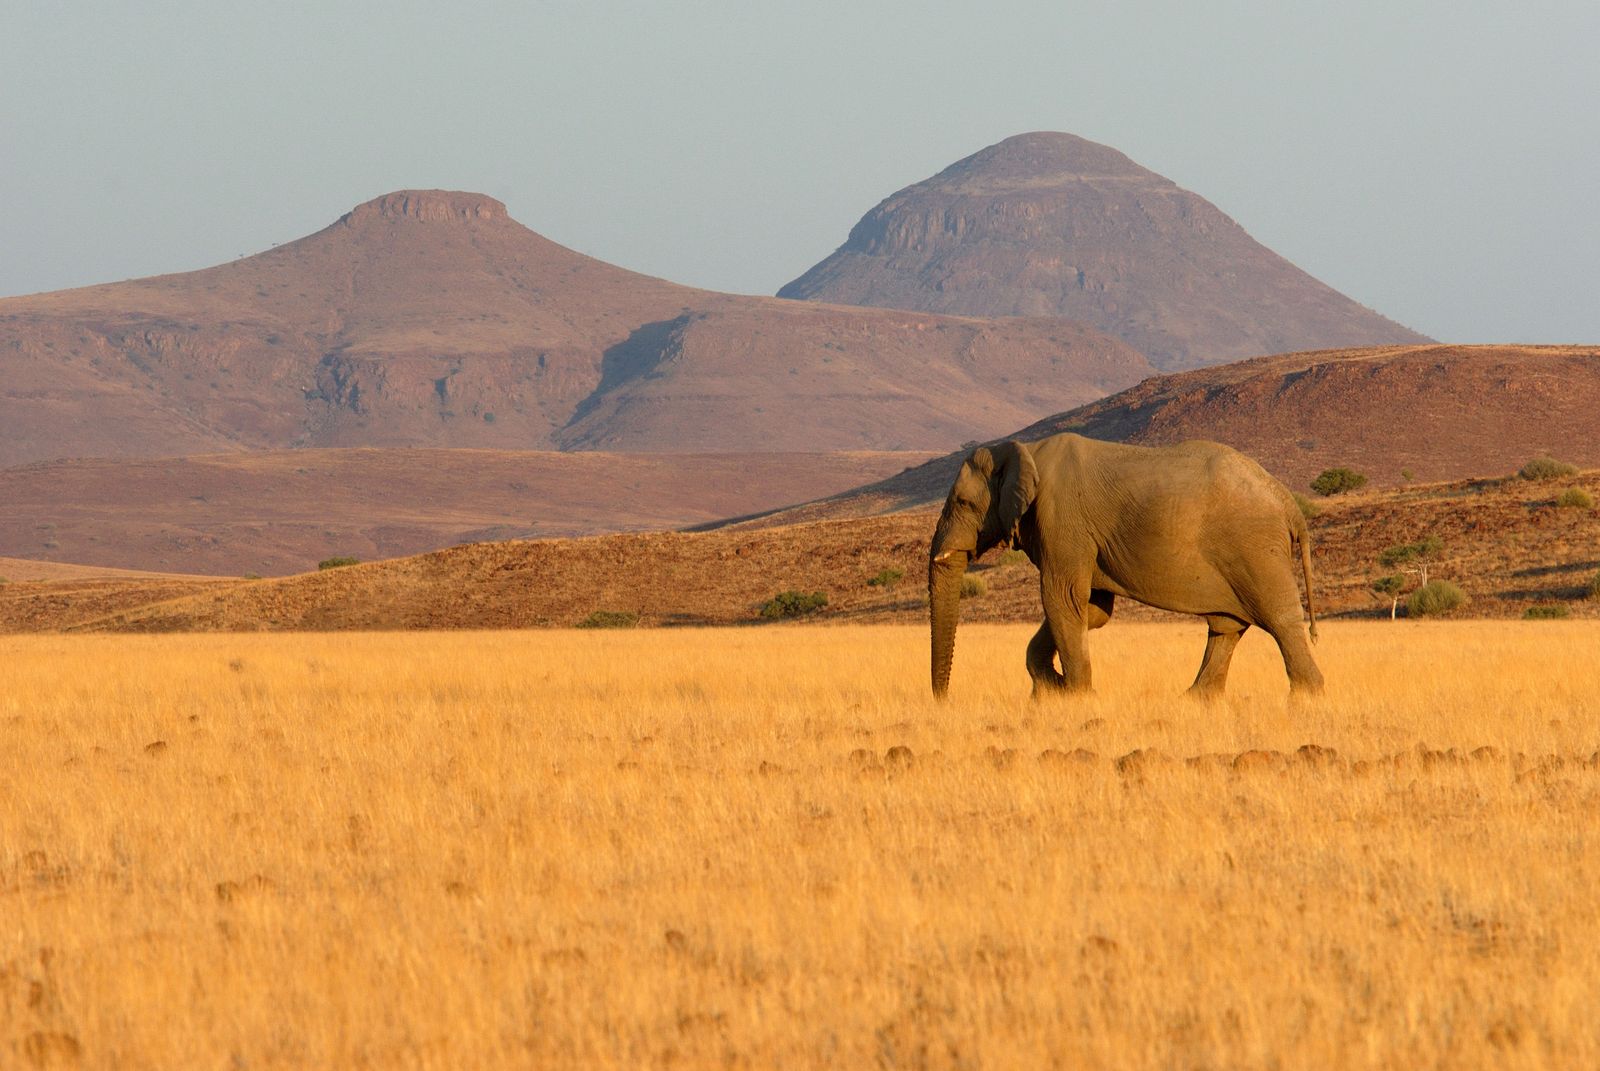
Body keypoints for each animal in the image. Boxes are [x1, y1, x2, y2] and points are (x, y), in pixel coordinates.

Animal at [928, 433, 1323, 698]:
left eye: (962, 503)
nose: (945, 702)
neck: (1025, 450)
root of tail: (1289, 503)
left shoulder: (1062, 521)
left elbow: (1063, 599)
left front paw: (1075, 696)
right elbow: (1092, 609)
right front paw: (1053, 688)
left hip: (1256, 550)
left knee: (1280, 621)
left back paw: (1306, 698)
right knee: (1227, 627)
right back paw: (1195, 702)